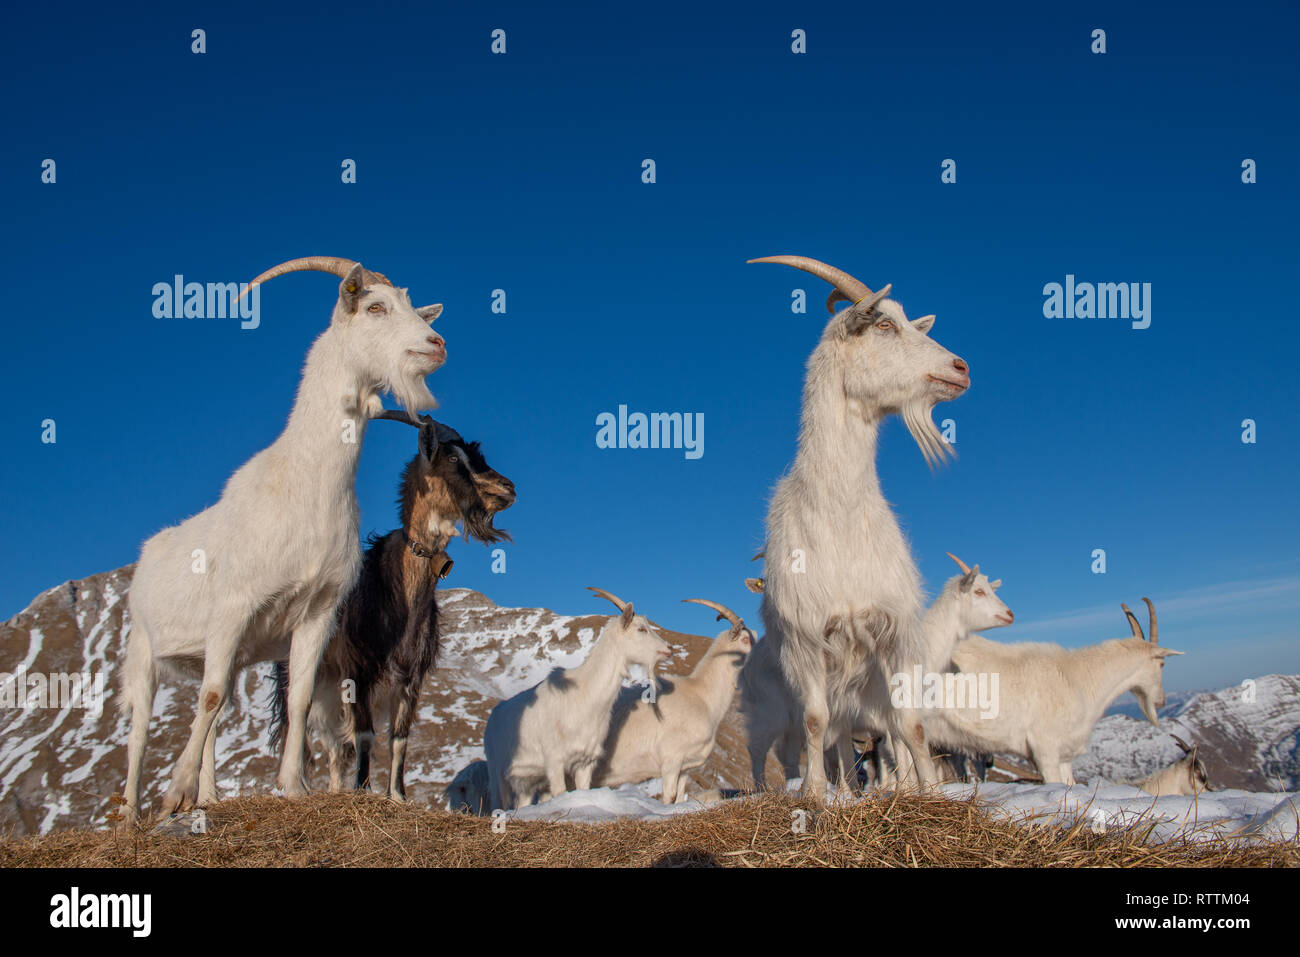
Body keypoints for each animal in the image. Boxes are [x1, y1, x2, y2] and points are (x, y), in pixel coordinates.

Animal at [120, 257, 446, 825]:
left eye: (412, 305)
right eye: (375, 306)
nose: (436, 344)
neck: (304, 485)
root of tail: (146, 555)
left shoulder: (316, 612)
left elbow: (295, 700)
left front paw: (292, 786)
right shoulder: (232, 607)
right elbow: (207, 700)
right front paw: (174, 792)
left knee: (217, 708)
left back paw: (210, 796)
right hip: (143, 645)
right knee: (142, 728)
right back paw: (132, 814)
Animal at [270, 411, 515, 801]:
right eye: (452, 458)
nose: (508, 488)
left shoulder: (411, 678)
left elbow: (399, 739)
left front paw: (397, 796)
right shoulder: (358, 671)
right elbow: (365, 735)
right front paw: (363, 790)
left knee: (336, 747)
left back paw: (335, 790)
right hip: (301, 674)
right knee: (305, 730)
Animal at [483, 588, 671, 811]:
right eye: (641, 629)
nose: (668, 649)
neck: (584, 695)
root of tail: (493, 716)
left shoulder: (585, 762)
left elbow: (582, 789)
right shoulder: (554, 760)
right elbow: (560, 792)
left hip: (527, 780)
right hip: (496, 773)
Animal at [592, 599, 754, 803]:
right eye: (745, 640)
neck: (702, 695)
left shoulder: (686, 767)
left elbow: (679, 797)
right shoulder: (671, 760)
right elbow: (668, 796)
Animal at [749, 255, 970, 798]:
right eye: (883, 323)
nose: (961, 368)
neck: (840, 518)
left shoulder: (891, 633)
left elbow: (910, 724)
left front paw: (928, 794)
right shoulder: (808, 640)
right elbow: (814, 722)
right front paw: (815, 796)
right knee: (837, 727)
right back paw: (844, 790)